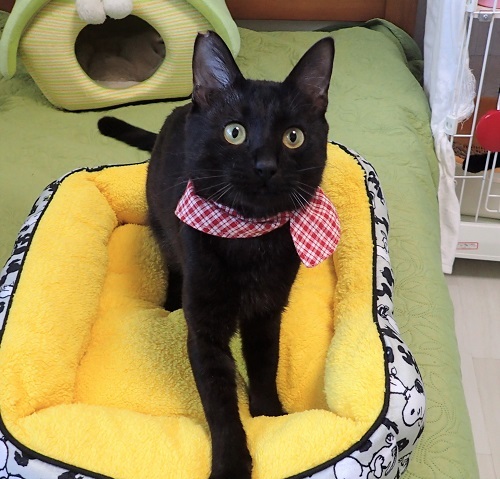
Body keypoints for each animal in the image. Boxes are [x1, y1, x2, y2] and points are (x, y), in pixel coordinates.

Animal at [98, 31, 335, 479]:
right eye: (234, 132)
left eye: (293, 137)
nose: (265, 165)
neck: (248, 239)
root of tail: (179, 111)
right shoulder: (205, 331)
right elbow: (220, 404)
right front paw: (231, 465)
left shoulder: (266, 313)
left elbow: (264, 365)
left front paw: (271, 418)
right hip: (162, 221)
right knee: (171, 262)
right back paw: (170, 302)